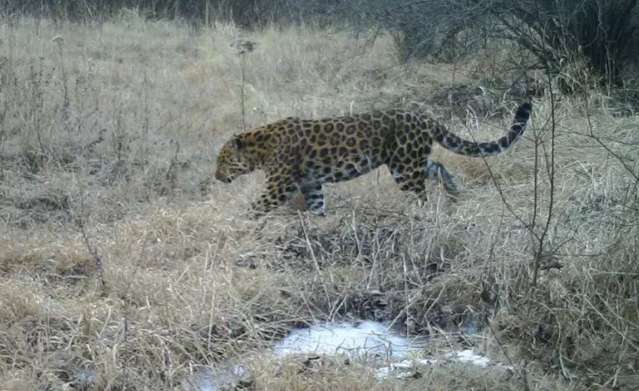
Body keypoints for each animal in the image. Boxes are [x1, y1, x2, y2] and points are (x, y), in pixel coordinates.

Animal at [216, 102, 536, 217]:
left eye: (222, 161)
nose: (217, 177)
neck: (260, 148)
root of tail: (425, 117)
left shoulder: (279, 185)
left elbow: (256, 206)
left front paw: (235, 224)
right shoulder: (311, 183)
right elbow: (317, 204)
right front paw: (319, 222)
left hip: (405, 167)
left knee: (420, 194)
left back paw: (420, 214)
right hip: (407, 162)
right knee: (436, 167)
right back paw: (454, 191)